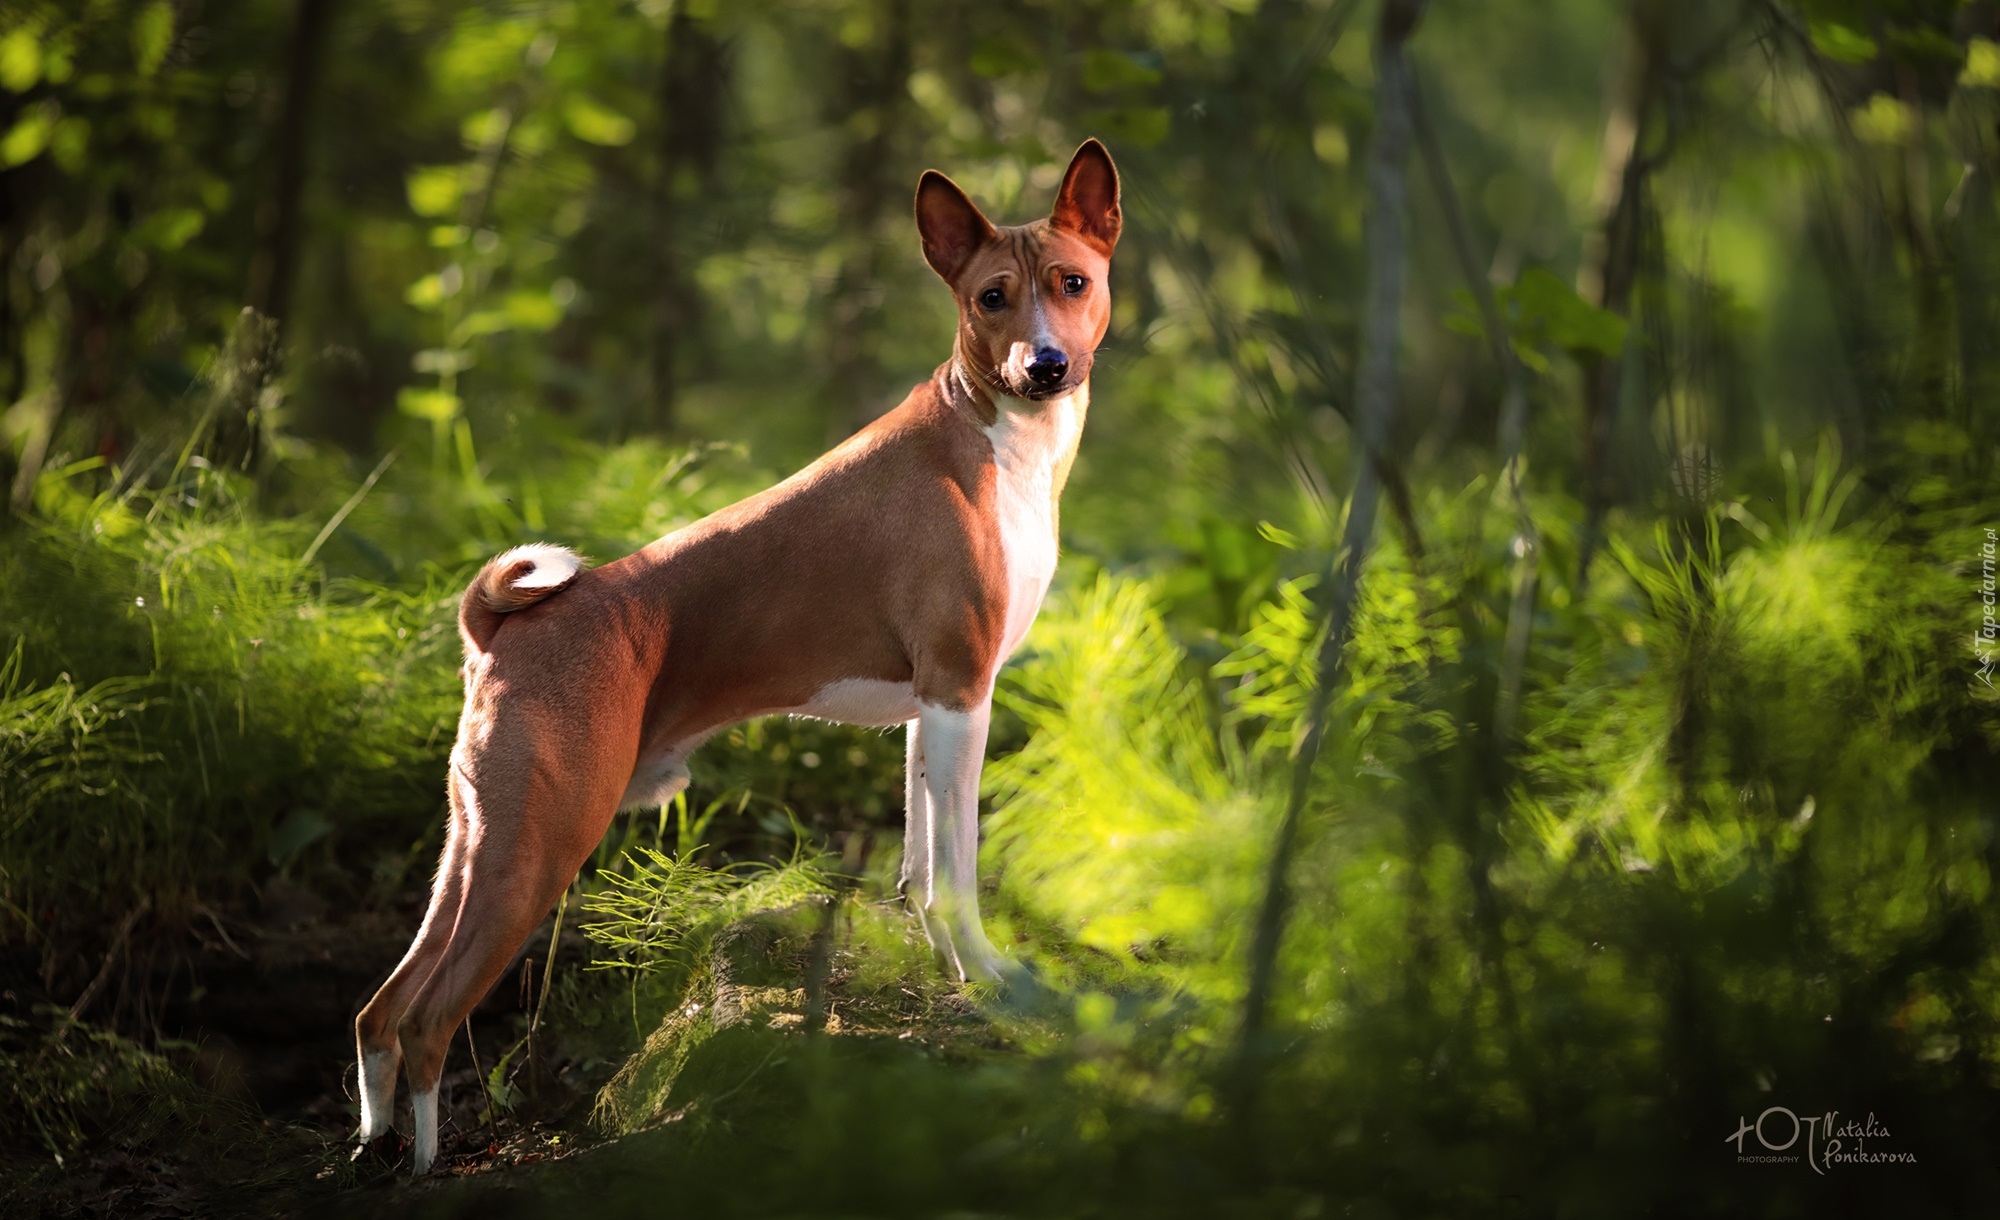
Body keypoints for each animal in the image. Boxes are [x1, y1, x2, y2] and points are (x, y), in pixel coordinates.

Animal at [352, 138, 1120, 1160]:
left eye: (1073, 282)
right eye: (993, 296)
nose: (1045, 363)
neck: (996, 444)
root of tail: (501, 627)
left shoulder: (936, 707)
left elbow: (919, 869)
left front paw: (942, 970)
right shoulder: (963, 694)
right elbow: (957, 868)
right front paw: (988, 975)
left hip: (473, 842)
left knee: (380, 1011)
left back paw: (370, 1144)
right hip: (540, 845)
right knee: (431, 1017)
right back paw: (426, 1160)